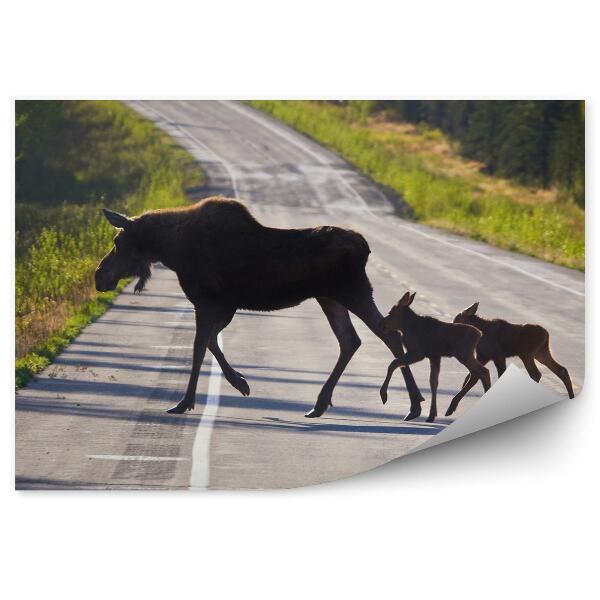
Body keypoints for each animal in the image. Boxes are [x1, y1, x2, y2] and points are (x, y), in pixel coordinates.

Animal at [94, 196, 424, 418]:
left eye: (118, 241)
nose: (99, 276)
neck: (171, 250)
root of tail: (365, 247)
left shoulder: (209, 301)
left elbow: (200, 347)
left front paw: (186, 401)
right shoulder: (222, 305)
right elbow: (210, 342)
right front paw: (240, 382)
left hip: (352, 292)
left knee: (387, 335)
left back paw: (414, 404)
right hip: (330, 298)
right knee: (351, 340)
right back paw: (321, 403)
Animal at [382, 290, 490, 422]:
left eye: (390, 313)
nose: (380, 324)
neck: (406, 328)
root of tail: (479, 334)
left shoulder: (418, 352)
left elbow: (393, 363)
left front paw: (383, 395)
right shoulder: (434, 356)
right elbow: (433, 382)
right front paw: (432, 414)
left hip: (463, 354)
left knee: (482, 372)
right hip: (465, 354)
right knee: (477, 373)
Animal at [448, 302, 576, 414]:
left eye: (456, 320)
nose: (451, 329)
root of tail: (547, 335)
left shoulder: (498, 356)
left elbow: (490, 376)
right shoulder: (483, 356)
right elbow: (471, 377)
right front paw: (452, 407)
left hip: (527, 354)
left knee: (536, 374)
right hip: (541, 353)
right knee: (561, 370)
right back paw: (571, 396)